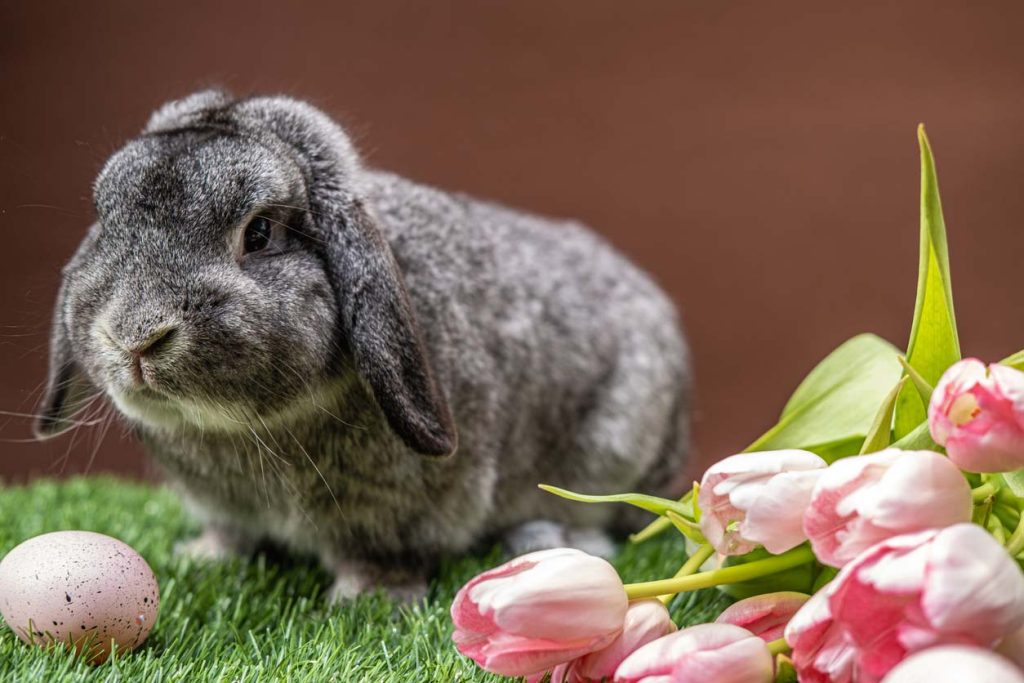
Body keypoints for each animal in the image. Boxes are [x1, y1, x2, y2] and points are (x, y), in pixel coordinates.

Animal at [34, 90, 688, 602]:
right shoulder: (224, 504)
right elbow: (229, 533)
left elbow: (378, 556)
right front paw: (203, 556)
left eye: (260, 232)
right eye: (107, 222)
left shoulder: (395, 512)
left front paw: (367, 597)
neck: (244, 429)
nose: (136, 336)